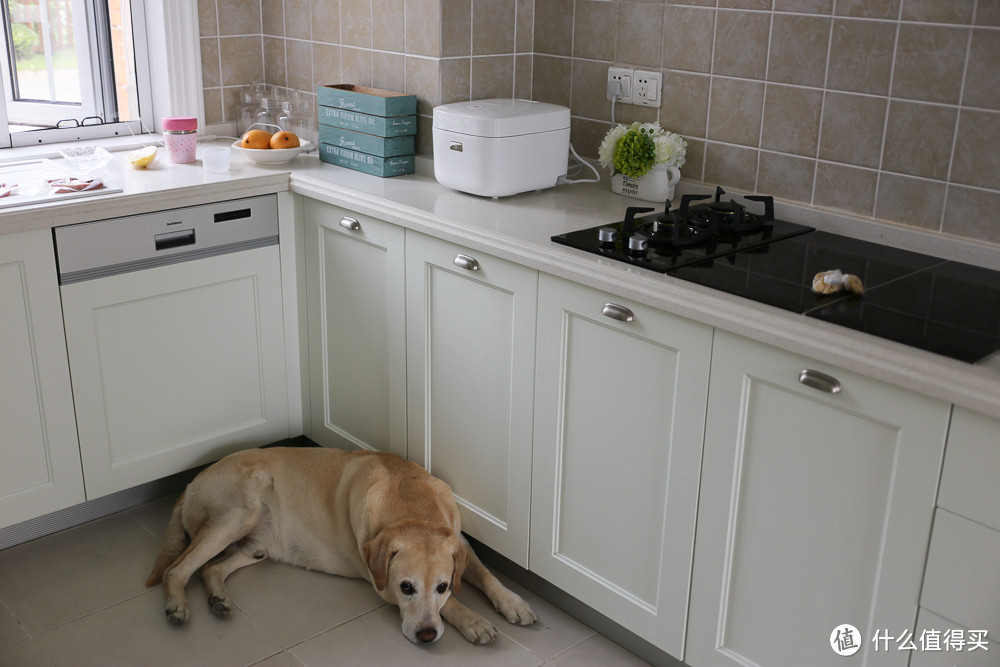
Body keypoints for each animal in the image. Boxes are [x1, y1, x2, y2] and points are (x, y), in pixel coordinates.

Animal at [145, 446, 536, 644]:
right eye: (405, 588)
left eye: (441, 585)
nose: (426, 635)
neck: (411, 505)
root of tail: (193, 480)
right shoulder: (381, 584)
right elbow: (454, 605)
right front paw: (474, 620)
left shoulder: (461, 541)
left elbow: (485, 574)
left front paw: (513, 602)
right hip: (234, 517)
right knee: (176, 569)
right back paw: (177, 605)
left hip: (253, 545)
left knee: (210, 568)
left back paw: (218, 598)